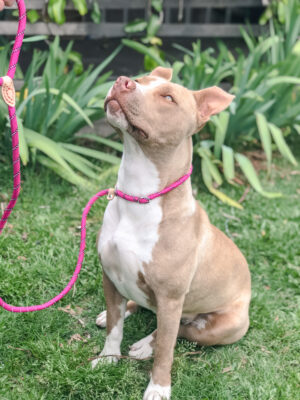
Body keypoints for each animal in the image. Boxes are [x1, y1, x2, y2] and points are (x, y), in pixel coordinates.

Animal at [92, 67, 252, 398]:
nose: (123, 81)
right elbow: (115, 325)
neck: (139, 195)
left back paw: (144, 345)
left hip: (221, 325)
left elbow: (166, 348)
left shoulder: (170, 298)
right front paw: (108, 357)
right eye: (140, 79)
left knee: (183, 329)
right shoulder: (110, 276)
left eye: (168, 97)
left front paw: (158, 387)